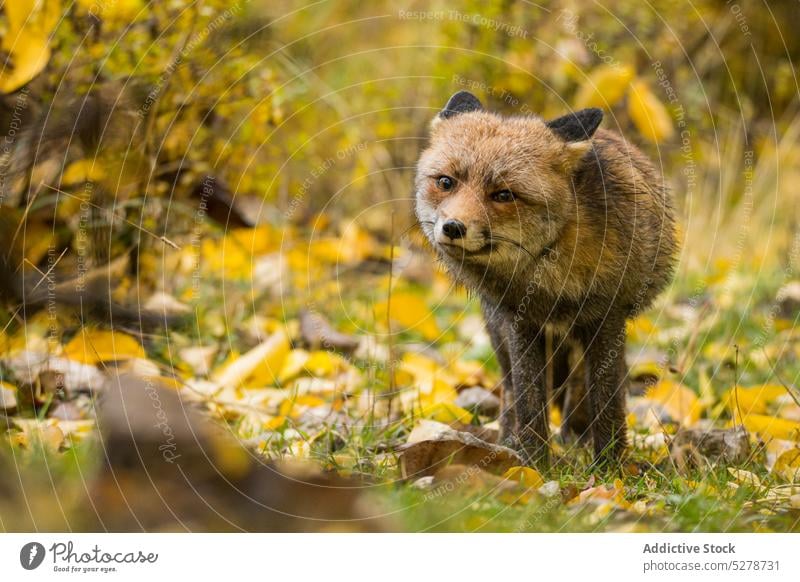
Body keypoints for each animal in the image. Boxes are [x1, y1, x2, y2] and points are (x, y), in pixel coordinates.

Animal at [416, 89, 680, 468]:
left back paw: (577, 436)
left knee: (580, 387)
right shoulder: (520, 321)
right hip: (497, 329)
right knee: (510, 388)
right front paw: (532, 463)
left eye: (503, 194)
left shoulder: (607, 318)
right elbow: (528, 399)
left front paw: (610, 466)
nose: (452, 227)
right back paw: (509, 441)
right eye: (446, 182)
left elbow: (607, 400)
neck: (552, 283)